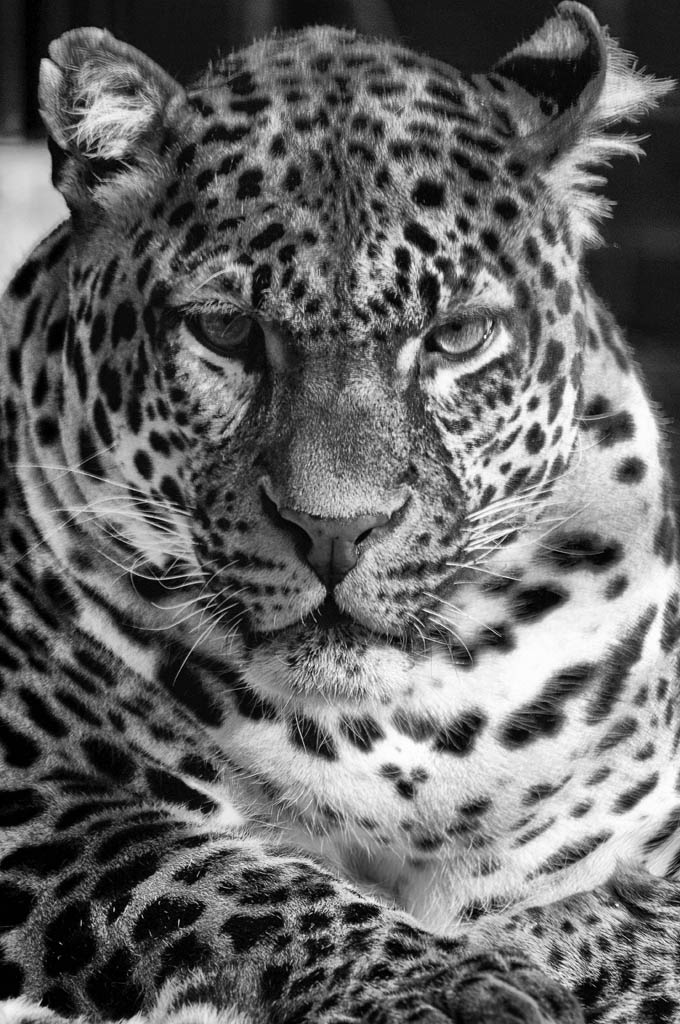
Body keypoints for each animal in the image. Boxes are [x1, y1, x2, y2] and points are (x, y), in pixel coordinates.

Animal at [0, 3, 678, 1022]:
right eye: (225, 329)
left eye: (458, 337)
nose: (335, 531)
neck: (401, 746)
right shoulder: (41, 803)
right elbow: (227, 885)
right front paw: (453, 981)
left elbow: (626, 919)